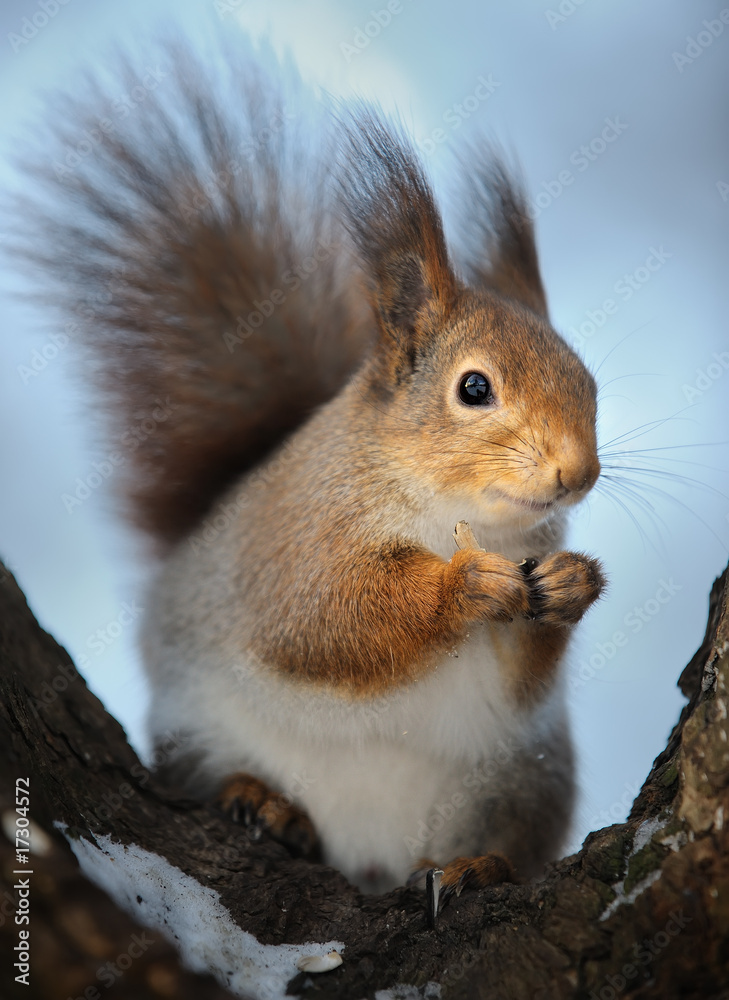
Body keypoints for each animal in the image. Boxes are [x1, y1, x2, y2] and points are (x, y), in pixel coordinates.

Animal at [18, 39, 605, 898]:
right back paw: (263, 803)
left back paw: (469, 865)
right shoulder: (294, 540)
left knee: (499, 837)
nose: (577, 474)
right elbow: (326, 618)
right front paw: (459, 586)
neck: (463, 517)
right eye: (474, 388)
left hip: (516, 781)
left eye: (588, 380)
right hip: (203, 728)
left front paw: (569, 583)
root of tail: (369, 857)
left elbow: (520, 677)